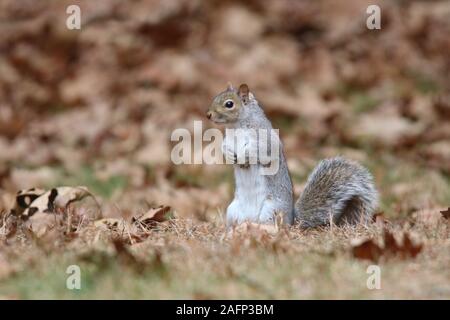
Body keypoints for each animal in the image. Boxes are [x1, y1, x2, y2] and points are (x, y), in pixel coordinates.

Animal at [206, 82, 378, 228]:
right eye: (216, 97)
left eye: (229, 104)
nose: (208, 115)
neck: (236, 126)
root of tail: (292, 220)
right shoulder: (228, 140)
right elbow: (224, 147)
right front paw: (229, 156)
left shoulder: (266, 138)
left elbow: (262, 150)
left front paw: (244, 157)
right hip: (233, 211)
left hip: (272, 210)